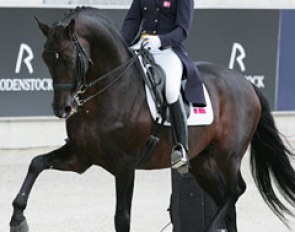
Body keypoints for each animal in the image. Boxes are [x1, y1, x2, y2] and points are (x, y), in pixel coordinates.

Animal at [9, 6, 295, 232]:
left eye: (69, 58)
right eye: (46, 58)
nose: (63, 108)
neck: (112, 92)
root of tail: (246, 83)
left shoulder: (125, 165)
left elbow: (122, 218)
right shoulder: (81, 157)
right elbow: (36, 163)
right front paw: (17, 218)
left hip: (227, 155)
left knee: (236, 191)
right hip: (202, 162)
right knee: (227, 199)